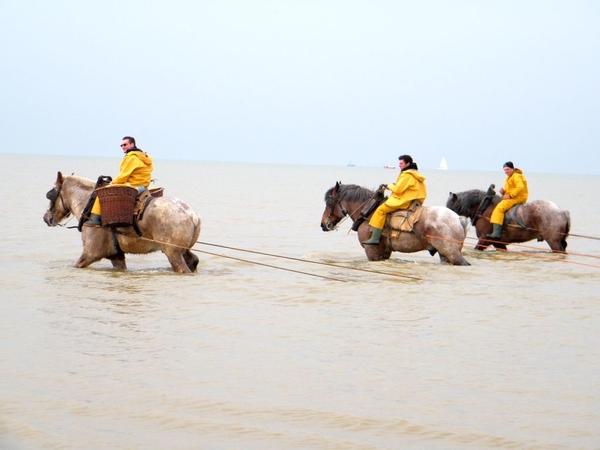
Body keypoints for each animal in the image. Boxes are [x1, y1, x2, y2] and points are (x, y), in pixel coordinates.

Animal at [42, 171, 202, 272]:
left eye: (51, 194)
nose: (46, 218)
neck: (88, 204)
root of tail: (192, 215)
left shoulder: (90, 254)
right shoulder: (116, 256)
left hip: (173, 253)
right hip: (183, 250)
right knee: (193, 260)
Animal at [322, 182, 472, 266]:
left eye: (329, 202)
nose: (324, 224)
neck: (369, 212)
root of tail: (459, 219)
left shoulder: (371, 251)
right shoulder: (384, 252)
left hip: (452, 253)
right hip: (444, 254)